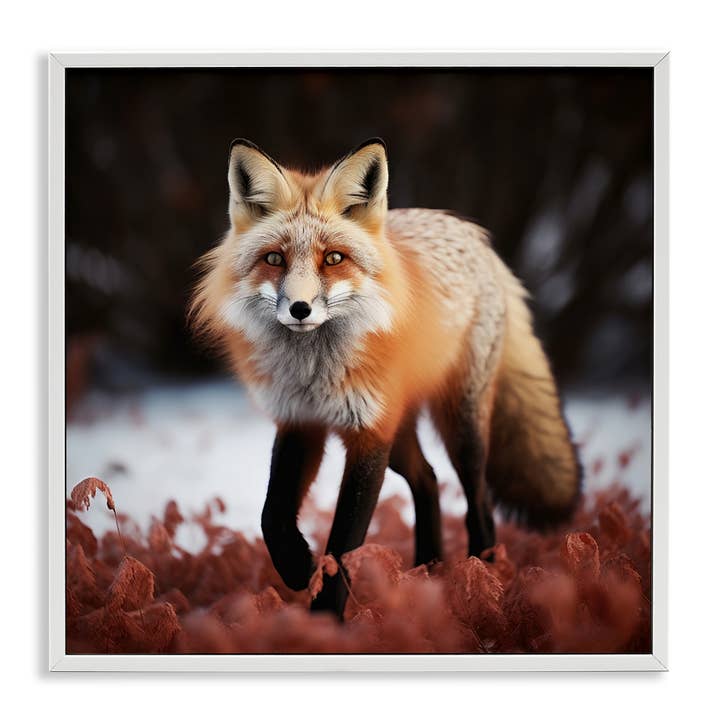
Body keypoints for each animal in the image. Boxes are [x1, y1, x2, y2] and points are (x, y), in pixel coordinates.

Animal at [190, 137, 581, 618]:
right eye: (274, 259)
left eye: (333, 258)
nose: (300, 309)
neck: (315, 372)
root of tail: (474, 235)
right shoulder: (301, 421)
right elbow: (272, 516)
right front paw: (298, 567)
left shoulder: (368, 433)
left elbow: (343, 545)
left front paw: (324, 620)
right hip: (400, 433)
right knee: (428, 480)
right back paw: (429, 571)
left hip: (460, 427)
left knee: (480, 501)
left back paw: (480, 581)